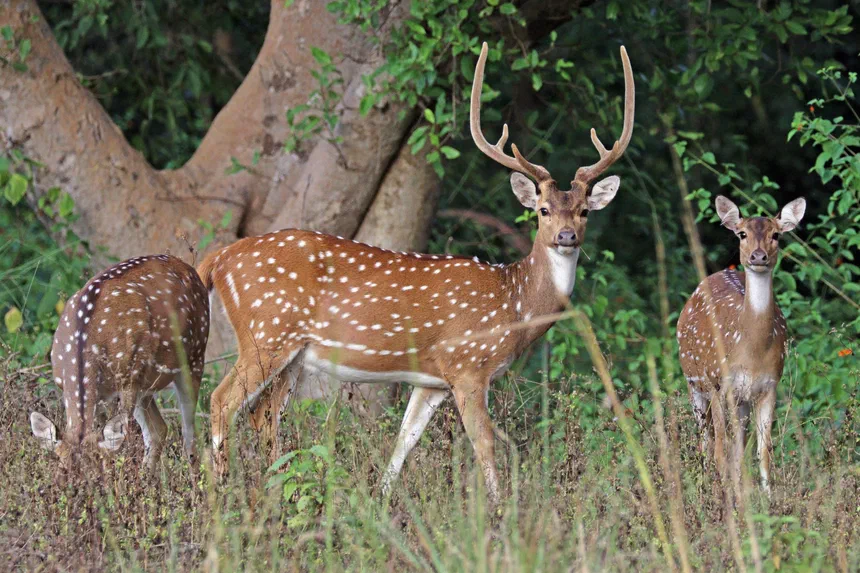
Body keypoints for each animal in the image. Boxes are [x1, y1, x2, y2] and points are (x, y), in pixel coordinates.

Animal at [29, 255, 210, 468]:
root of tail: (188, 267)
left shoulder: (127, 379)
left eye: (96, 470)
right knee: (158, 430)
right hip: (144, 383)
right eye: (61, 469)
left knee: (190, 433)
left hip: (195, 355)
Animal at [196, 41, 634, 504]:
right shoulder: (467, 365)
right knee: (221, 400)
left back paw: (277, 494)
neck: (513, 304)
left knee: (264, 414)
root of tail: (219, 259)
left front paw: (382, 502)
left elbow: (403, 442)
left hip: (292, 353)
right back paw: (221, 494)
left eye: (585, 211)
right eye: (543, 211)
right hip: (265, 333)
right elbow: (486, 444)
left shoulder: (432, 381)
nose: (567, 236)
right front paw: (500, 511)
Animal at [677, 195, 806, 495]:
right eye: (742, 233)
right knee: (707, 441)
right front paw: (726, 499)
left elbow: (763, 451)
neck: (751, 353)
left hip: (741, 400)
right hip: (696, 383)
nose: (758, 256)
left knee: (736, 446)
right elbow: (722, 449)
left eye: (776, 235)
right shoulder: (720, 383)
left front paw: (767, 498)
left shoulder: (769, 386)